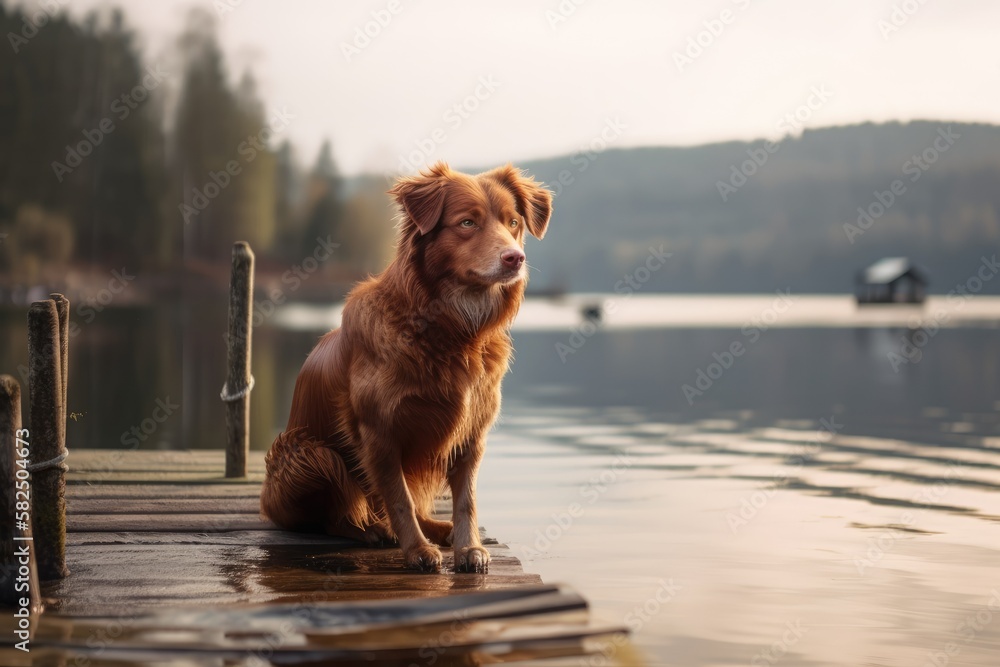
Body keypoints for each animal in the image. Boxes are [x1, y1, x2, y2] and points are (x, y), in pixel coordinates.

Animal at [262, 163, 552, 576]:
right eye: (467, 223)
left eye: (513, 222)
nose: (515, 259)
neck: (452, 330)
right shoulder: (379, 432)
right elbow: (398, 496)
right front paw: (415, 550)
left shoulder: (471, 433)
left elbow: (465, 499)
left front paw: (468, 547)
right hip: (306, 453)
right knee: (333, 515)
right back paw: (371, 530)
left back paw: (438, 529)